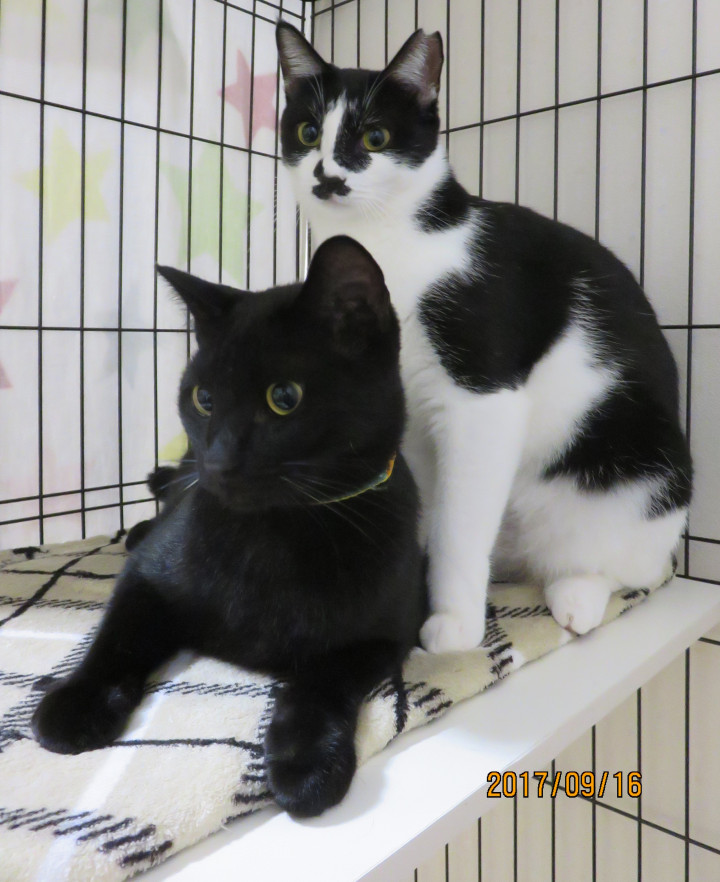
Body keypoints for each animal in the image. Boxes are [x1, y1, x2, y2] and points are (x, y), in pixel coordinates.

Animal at [32, 235, 425, 818]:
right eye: (203, 399)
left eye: (284, 398)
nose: (217, 463)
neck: (273, 536)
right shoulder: (146, 579)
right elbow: (116, 637)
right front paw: (74, 705)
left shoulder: (387, 631)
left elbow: (322, 680)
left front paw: (307, 761)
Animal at [275, 22, 692, 653]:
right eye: (307, 132)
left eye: (374, 137)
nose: (328, 177)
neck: (391, 242)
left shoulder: (483, 399)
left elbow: (459, 524)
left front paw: (453, 625)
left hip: (643, 475)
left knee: (629, 565)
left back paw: (577, 595)